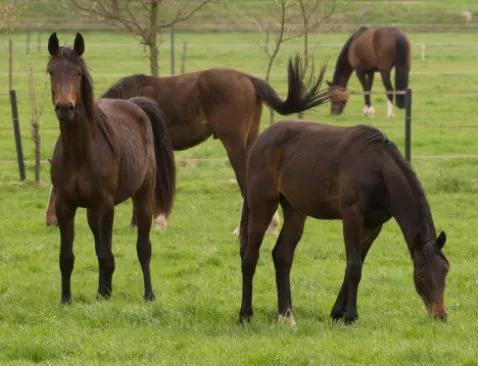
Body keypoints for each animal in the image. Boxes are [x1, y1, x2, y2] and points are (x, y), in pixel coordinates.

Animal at [45, 54, 328, 234]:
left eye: (55, 189)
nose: (50, 220)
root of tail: (248, 78)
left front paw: (154, 220)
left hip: (234, 143)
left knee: (244, 180)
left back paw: (244, 228)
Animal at [46, 33, 176, 304]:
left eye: (78, 73)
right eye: (52, 71)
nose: (65, 108)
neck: (80, 152)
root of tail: (136, 105)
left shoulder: (105, 205)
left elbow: (106, 256)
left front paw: (104, 298)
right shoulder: (65, 206)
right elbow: (67, 257)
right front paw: (66, 299)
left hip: (142, 197)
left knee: (143, 247)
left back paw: (148, 294)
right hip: (92, 211)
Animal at [241, 119, 450, 324]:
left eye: (446, 270)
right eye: (421, 274)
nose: (440, 315)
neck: (376, 167)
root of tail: (259, 141)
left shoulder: (373, 226)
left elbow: (354, 265)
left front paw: (337, 313)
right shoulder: (351, 217)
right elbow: (354, 266)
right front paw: (350, 316)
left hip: (295, 211)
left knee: (282, 256)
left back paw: (286, 316)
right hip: (262, 206)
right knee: (250, 256)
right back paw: (245, 314)